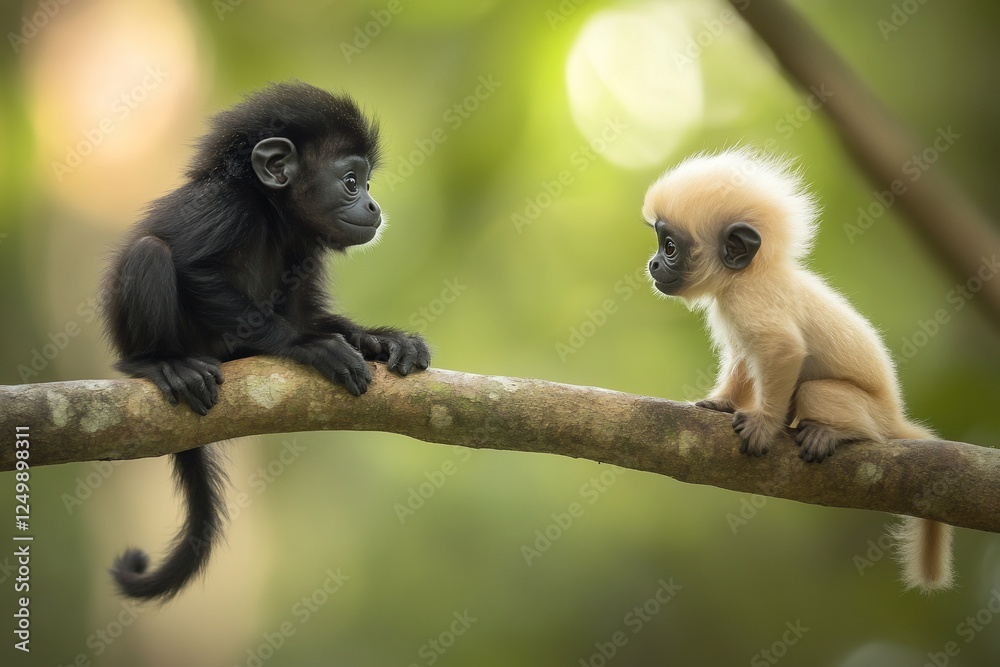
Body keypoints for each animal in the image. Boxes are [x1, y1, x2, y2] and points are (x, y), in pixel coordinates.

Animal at [101, 81, 431, 601]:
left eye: (367, 183)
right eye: (352, 181)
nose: (373, 206)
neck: (271, 212)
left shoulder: (303, 241)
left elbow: (308, 312)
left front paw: (383, 341)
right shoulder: (225, 208)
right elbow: (194, 268)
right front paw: (307, 346)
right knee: (149, 252)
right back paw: (158, 363)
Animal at [641, 147, 953, 592]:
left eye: (669, 246)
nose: (652, 263)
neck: (752, 274)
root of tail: (893, 415)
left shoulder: (750, 301)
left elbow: (783, 349)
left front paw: (765, 425)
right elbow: (743, 360)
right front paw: (721, 403)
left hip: (863, 411)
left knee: (825, 399)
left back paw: (836, 432)